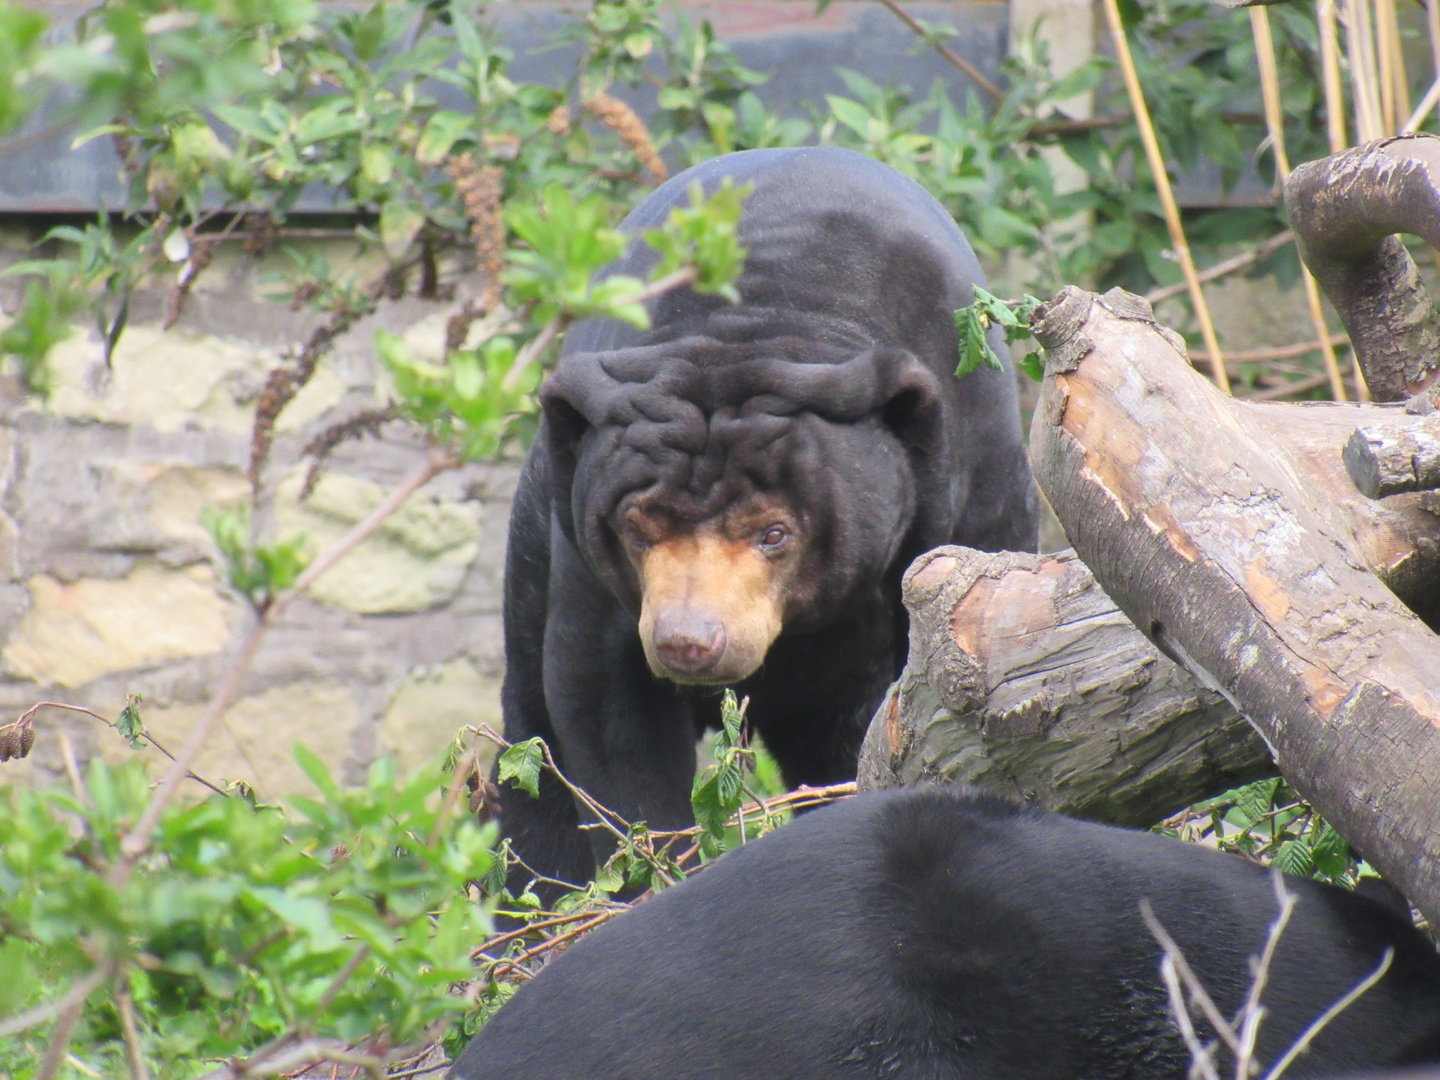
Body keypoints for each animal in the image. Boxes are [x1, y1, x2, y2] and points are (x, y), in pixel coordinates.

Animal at [499, 147, 1038, 890]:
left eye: (773, 532)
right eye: (638, 526)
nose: (687, 643)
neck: (760, 319)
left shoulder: (974, 481)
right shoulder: (583, 555)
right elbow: (602, 708)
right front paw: (654, 870)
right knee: (529, 748)